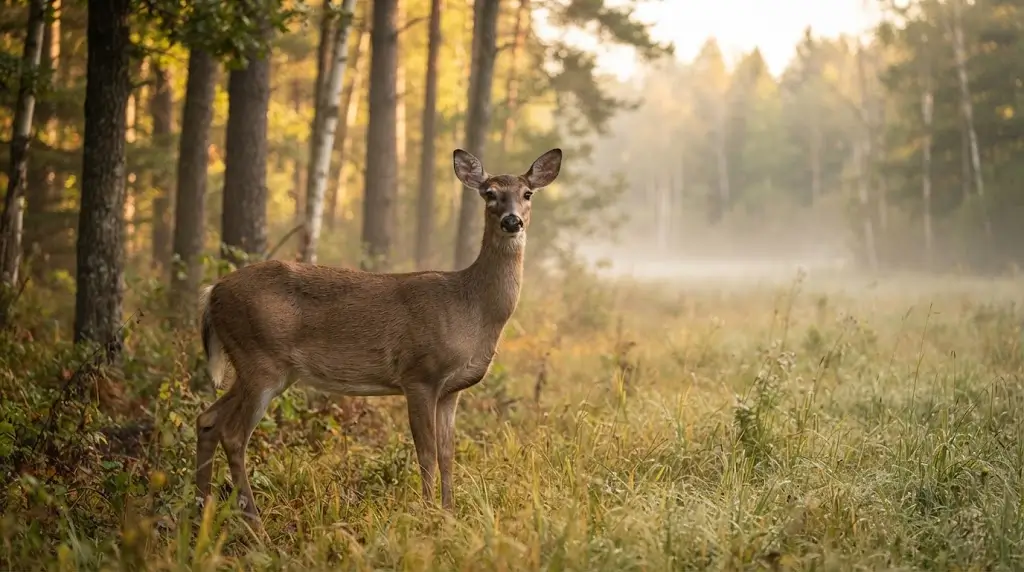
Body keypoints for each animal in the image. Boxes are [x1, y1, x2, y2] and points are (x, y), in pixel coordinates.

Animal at [194, 147, 562, 526]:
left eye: (527, 193)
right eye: (489, 193)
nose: (512, 221)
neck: (472, 309)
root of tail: (212, 292)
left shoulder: (451, 390)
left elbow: (448, 454)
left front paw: (449, 515)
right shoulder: (419, 374)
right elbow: (426, 453)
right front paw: (428, 515)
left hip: (259, 367)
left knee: (206, 420)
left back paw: (202, 509)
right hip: (260, 359)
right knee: (233, 434)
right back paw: (254, 523)